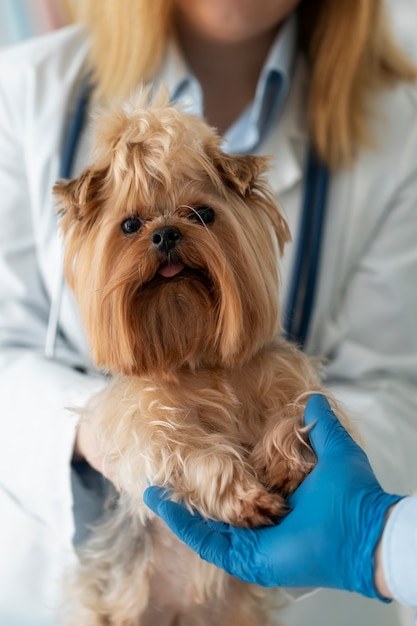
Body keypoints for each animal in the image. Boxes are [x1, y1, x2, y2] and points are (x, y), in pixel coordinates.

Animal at [55, 88, 346, 624]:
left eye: (203, 214)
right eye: (130, 224)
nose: (166, 233)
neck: (198, 358)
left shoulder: (290, 378)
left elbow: (300, 410)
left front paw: (283, 462)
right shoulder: (139, 421)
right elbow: (187, 447)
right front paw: (243, 495)